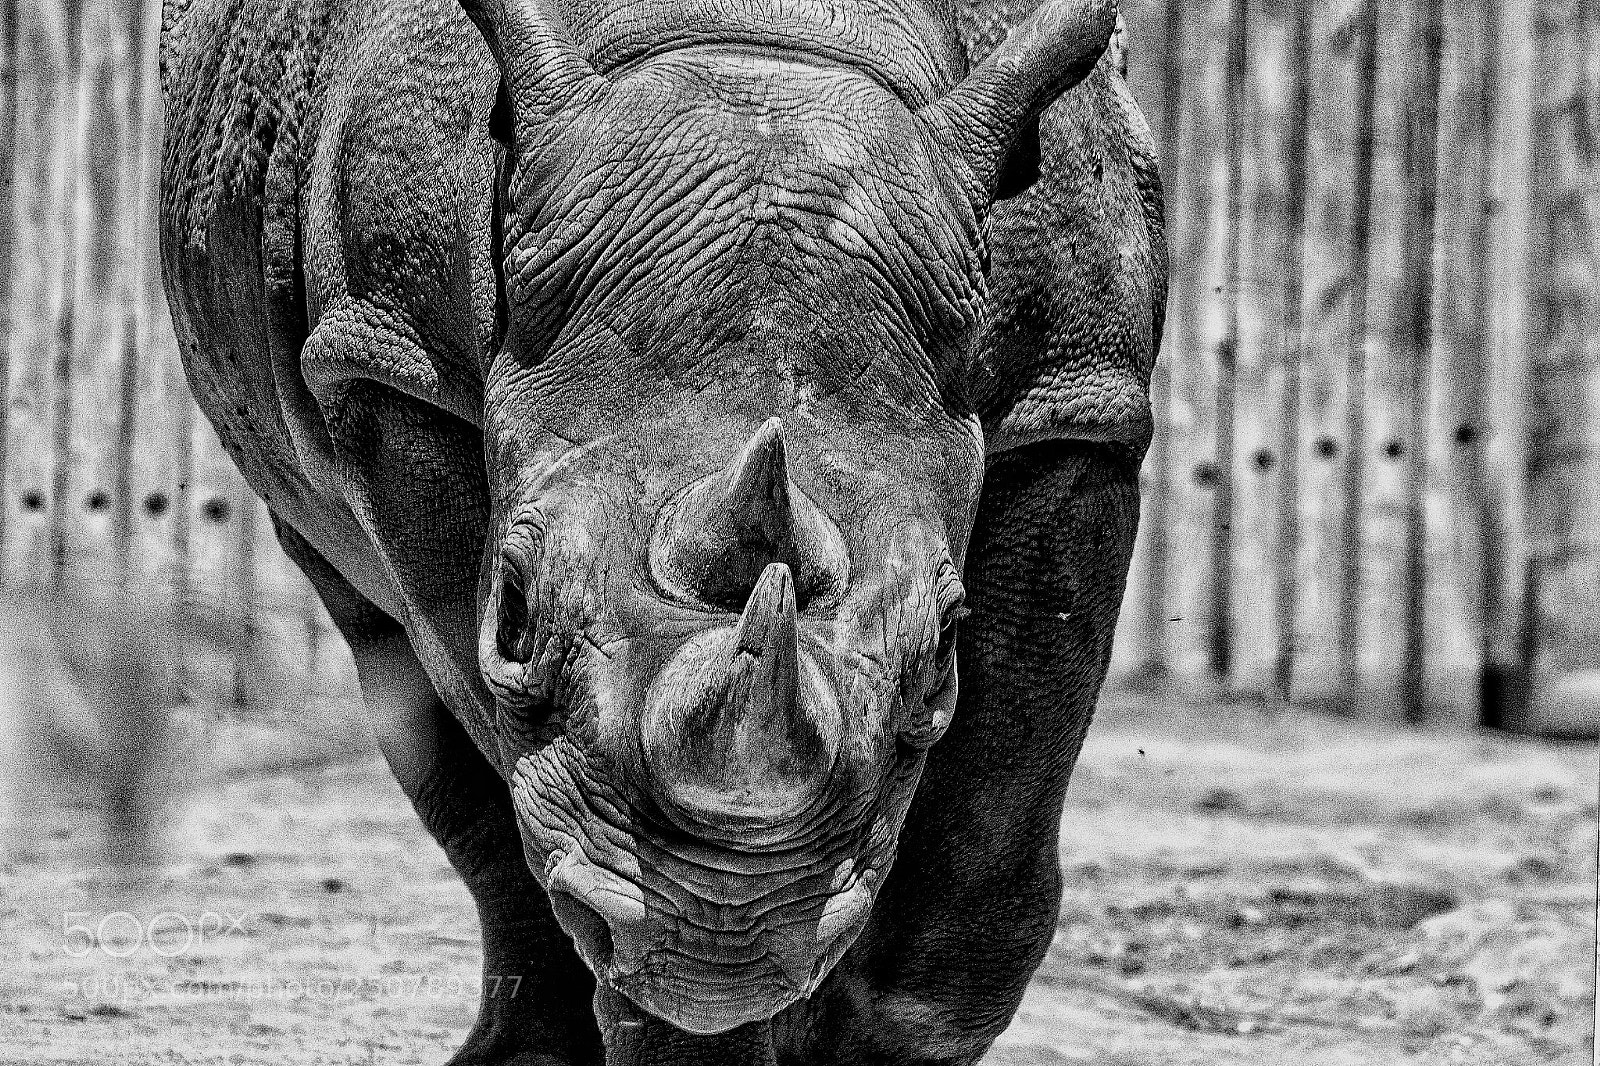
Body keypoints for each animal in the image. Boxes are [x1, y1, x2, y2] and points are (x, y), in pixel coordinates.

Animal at [159, 0, 1165, 1060]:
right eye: (509, 613)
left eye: (942, 652)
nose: (726, 936)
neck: (770, 60)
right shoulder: (390, 361)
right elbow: (504, 725)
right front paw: (688, 1008)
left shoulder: (1079, 399)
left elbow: (991, 818)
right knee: (383, 637)